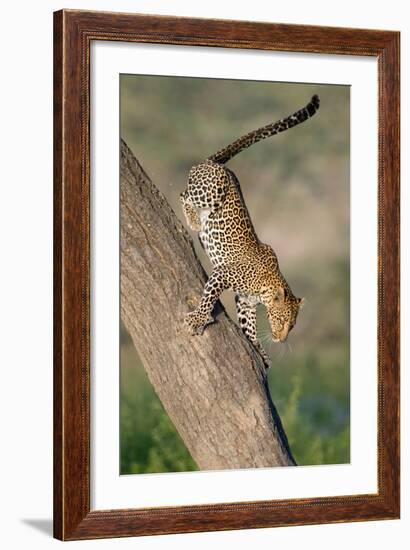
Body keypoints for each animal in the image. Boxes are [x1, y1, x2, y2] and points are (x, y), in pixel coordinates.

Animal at [180, 95, 320, 370]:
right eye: (282, 320)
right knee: (184, 194)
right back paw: (193, 220)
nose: (280, 339)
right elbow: (208, 298)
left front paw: (260, 352)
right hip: (212, 189)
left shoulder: (245, 301)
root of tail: (214, 163)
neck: (266, 286)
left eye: (292, 326)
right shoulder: (222, 275)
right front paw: (198, 319)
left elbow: (250, 328)